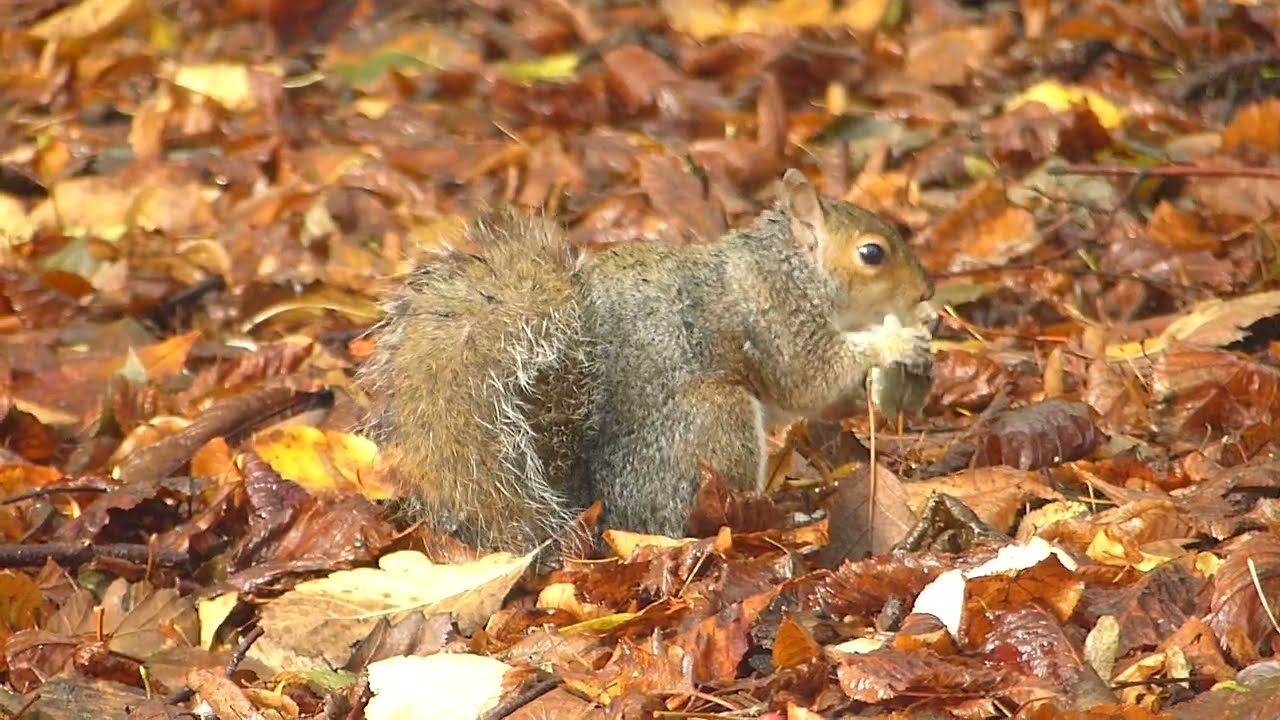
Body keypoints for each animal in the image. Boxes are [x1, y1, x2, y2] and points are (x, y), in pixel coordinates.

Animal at [358, 169, 934, 555]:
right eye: (872, 254)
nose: (927, 291)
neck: (790, 270)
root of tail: (602, 511)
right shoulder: (776, 323)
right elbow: (808, 381)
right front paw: (895, 341)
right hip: (716, 422)